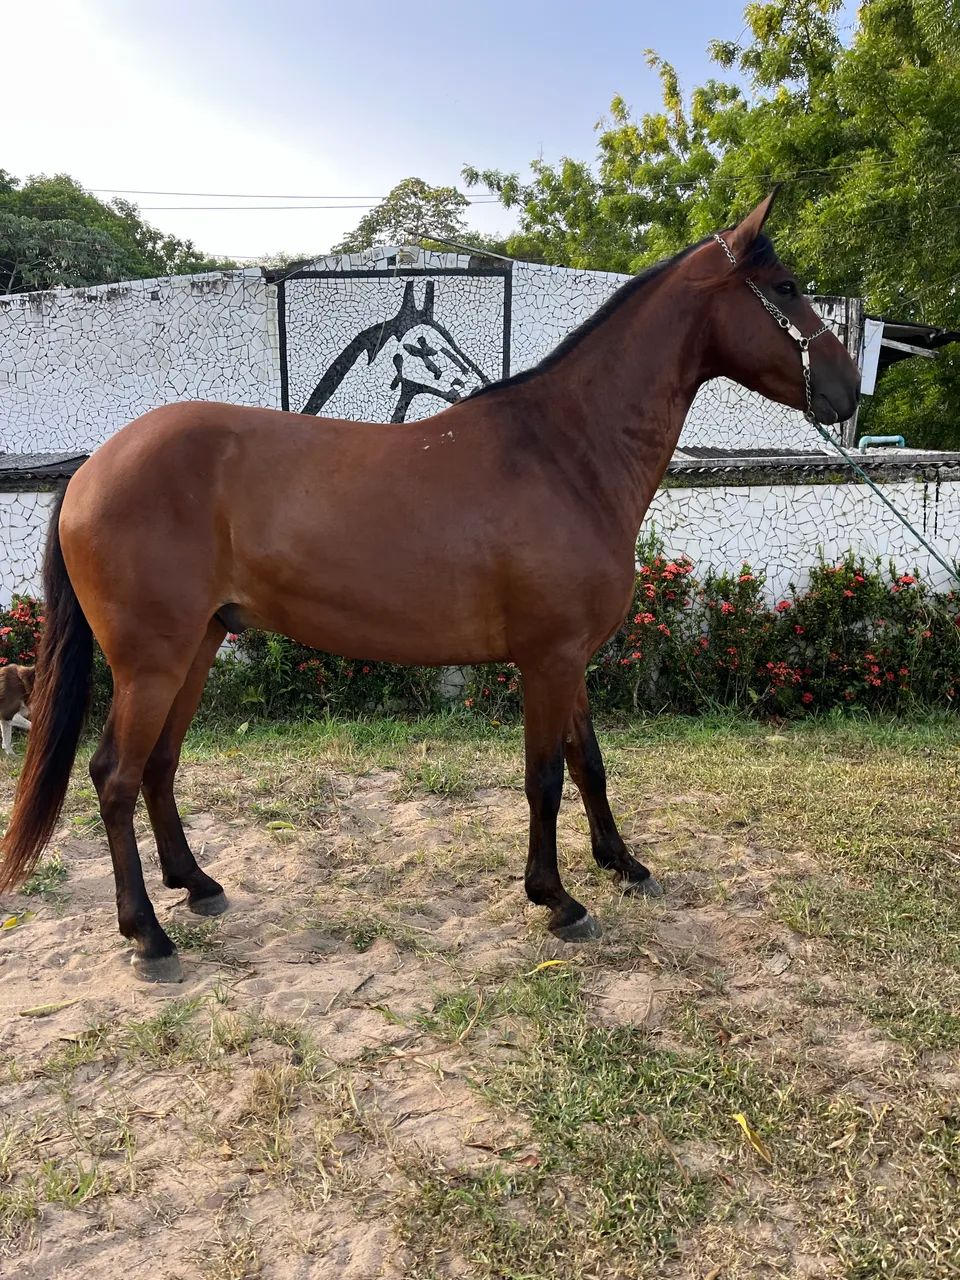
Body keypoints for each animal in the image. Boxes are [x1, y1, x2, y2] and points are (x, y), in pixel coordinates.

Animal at [0, 192, 859, 982]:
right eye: (785, 287)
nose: (849, 390)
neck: (565, 452)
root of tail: (94, 466)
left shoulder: (570, 657)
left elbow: (589, 762)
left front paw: (623, 864)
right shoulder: (548, 660)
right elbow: (545, 776)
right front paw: (556, 899)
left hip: (199, 645)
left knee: (160, 765)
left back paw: (197, 884)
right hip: (152, 660)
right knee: (115, 776)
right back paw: (148, 934)